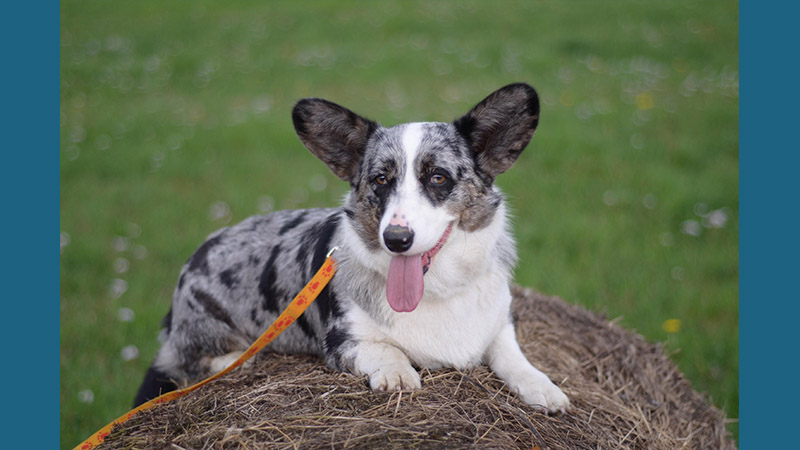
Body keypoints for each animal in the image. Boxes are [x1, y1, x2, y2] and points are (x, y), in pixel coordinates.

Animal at [136, 82, 568, 414]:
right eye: (380, 179)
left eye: (438, 177)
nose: (396, 239)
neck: (437, 292)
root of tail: (193, 260)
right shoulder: (345, 341)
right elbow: (386, 351)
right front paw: (398, 375)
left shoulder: (499, 323)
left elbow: (513, 356)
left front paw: (544, 388)